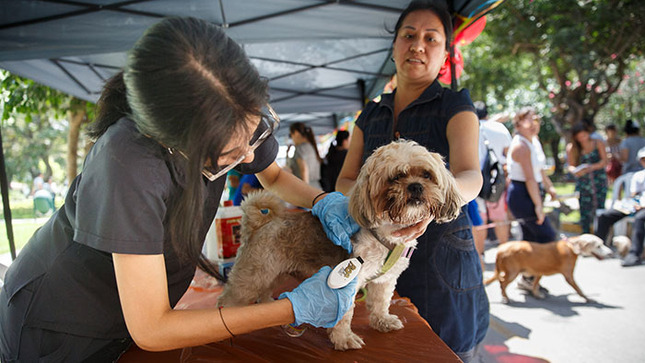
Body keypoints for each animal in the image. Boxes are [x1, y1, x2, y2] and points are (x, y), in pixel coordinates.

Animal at [218, 141, 462, 352]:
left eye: (427, 174)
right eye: (395, 177)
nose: (416, 186)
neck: (385, 234)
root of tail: (260, 223)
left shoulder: (383, 280)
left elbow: (381, 302)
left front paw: (382, 321)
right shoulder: (347, 286)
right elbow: (344, 316)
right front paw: (344, 339)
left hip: (274, 273)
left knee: (264, 294)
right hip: (252, 277)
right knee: (227, 302)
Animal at [484, 233, 612, 304]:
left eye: (602, 243)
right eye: (598, 246)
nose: (610, 253)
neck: (571, 246)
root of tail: (500, 250)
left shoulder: (539, 272)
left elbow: (535, 285)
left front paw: (537, 294)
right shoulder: (569, 276)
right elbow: (579, 289)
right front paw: (587, 298)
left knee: (501, 281)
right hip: (512, 272)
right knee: (502, 283)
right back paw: (505, 298)